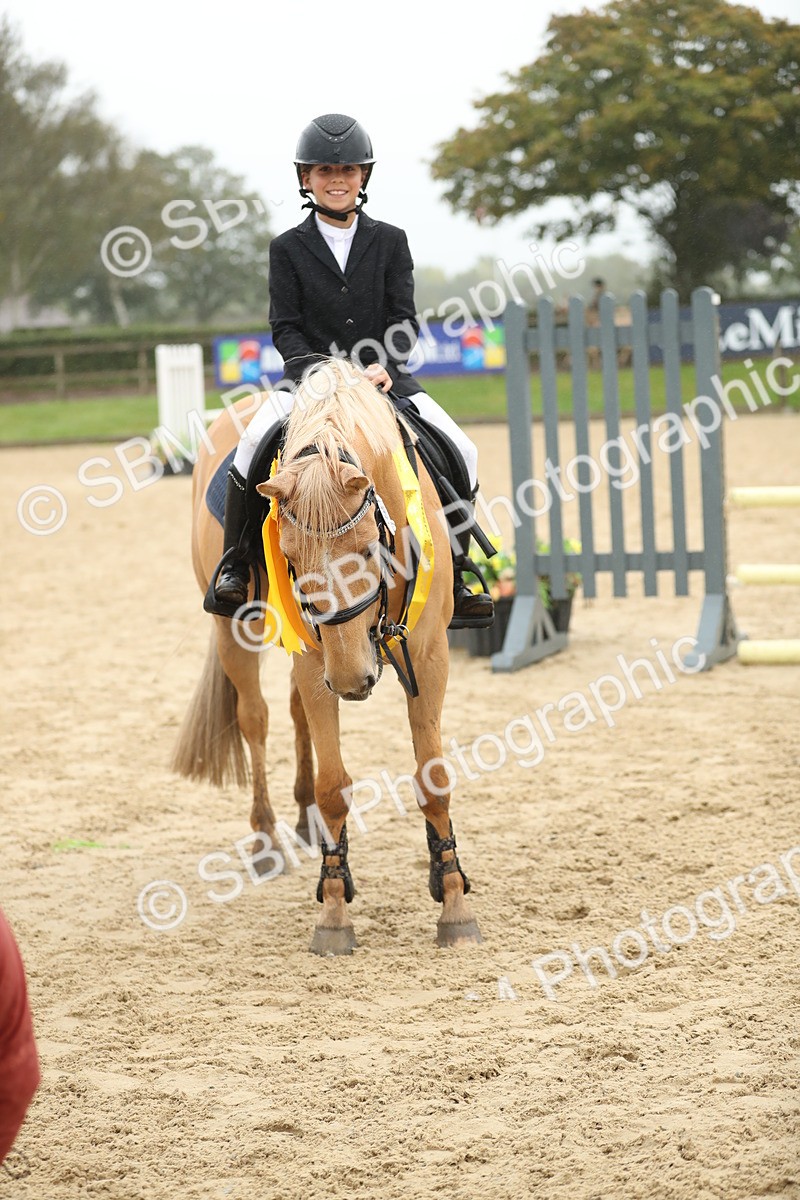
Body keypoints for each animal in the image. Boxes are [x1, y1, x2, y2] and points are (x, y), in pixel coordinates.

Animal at [171, 358, 481, 955]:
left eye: (367, 549)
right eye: (288, 555)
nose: (354, 678)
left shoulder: (429, 654)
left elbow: (433, 777)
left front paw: (453, 900)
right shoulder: (317, 660)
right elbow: (334, 786)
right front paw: (334, 911)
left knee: (294, 716)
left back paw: (303, 824)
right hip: (235, 630)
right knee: (256, 718)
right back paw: (267, 839)